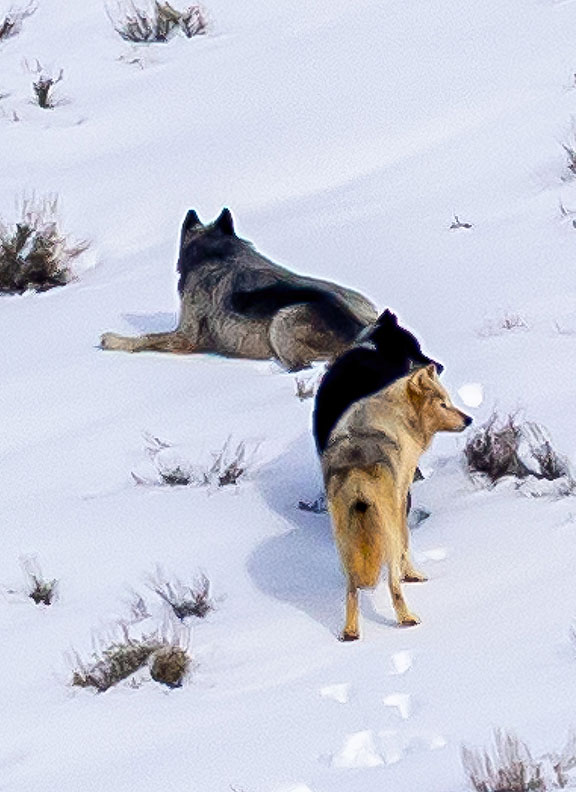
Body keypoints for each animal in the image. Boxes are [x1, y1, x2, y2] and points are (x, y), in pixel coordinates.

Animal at [100, 208, 378, 371]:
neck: (218, 253)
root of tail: (363, 328)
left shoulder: (185, 336)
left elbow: (146, 338)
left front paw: (114, 340)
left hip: (283, 319)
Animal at [321, 364, 472, 641]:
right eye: (443, 403)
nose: (469, 420)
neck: (400, 414)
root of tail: (357, 477)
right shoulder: (402, 496)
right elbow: (406, 542)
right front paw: (412, 575)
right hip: (386, 533)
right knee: (392, 583)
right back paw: (407, 619)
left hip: (344, 544)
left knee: (352, 589)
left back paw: (350, 633)